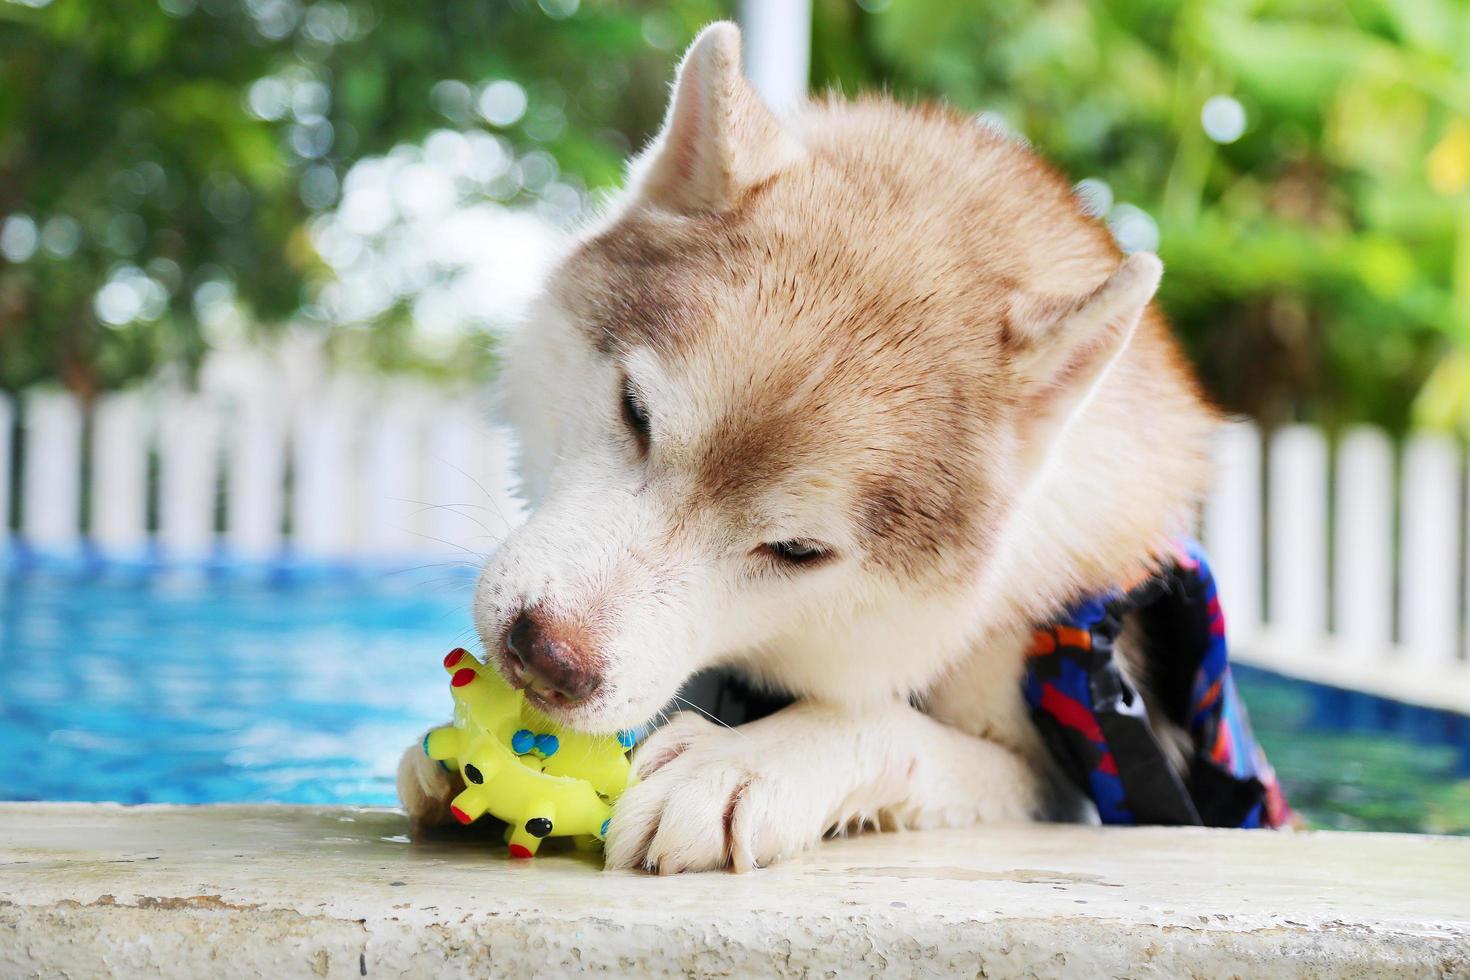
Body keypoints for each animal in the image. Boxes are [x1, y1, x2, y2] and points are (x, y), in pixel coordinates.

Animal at [399, 19, 1217, 869]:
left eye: (797, 552)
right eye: (636, 413)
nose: (546, 659)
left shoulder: (1070, 787)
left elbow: (883, 724)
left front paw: (747, 761)